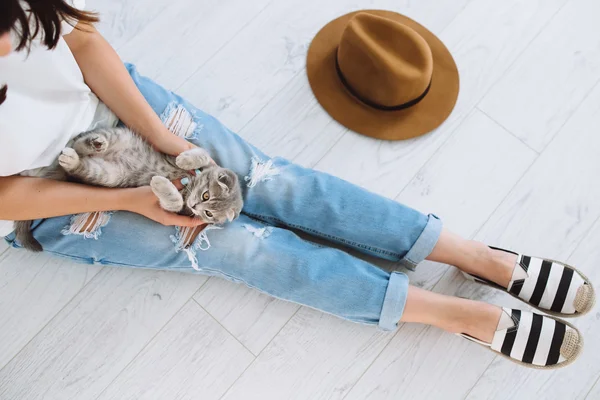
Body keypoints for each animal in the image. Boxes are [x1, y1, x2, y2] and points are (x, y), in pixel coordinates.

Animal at [14, 126, 244, 252]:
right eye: (206, 195)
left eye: (208, 214)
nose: (196, 206)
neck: (188, 185)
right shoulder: (180, 156)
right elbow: (203, 153)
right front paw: (186, 159)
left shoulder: (177, 210)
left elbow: (175, 203)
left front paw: (160, 184)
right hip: (120, 136)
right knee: (78, 142)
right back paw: (95, 143)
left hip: (109, 174)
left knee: (80, 163)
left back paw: (73, 159)